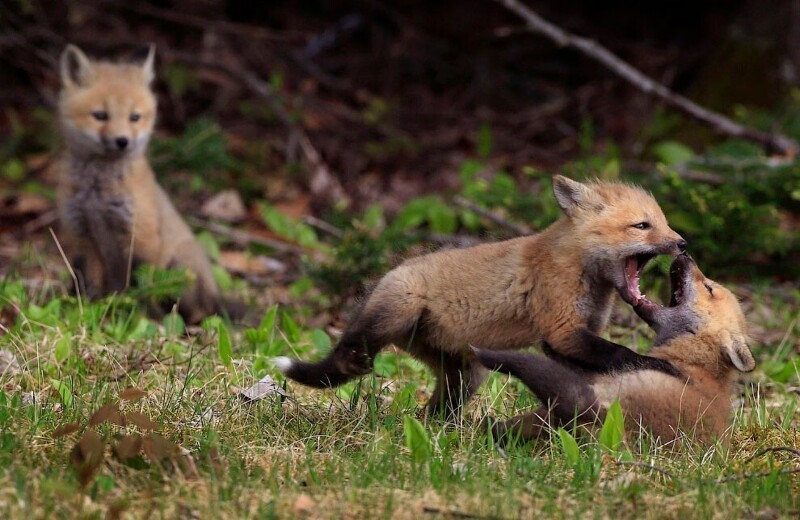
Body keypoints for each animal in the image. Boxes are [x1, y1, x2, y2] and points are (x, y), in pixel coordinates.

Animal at [278, 177, 684, 416]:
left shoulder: (569, 339)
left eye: (664, 223)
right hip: (398, 311)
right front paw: (660, 367)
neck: (579, 268)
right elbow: (622, 353)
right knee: (349, 347)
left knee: (437, 409)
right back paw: (352, 363)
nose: (682, 243)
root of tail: (386, 275)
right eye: (642, 225)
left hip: (465, 375)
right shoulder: (562, 329)